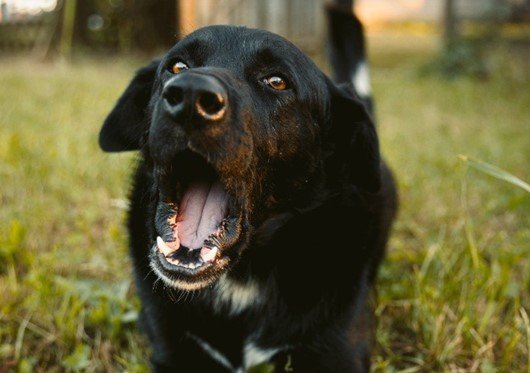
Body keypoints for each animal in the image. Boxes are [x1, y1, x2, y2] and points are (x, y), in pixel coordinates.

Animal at [99, 4, 396, 370]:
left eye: (277, 81)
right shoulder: (171, 350)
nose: (190, 94)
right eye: (178, 66)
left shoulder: (337, 353)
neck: (242, 277)